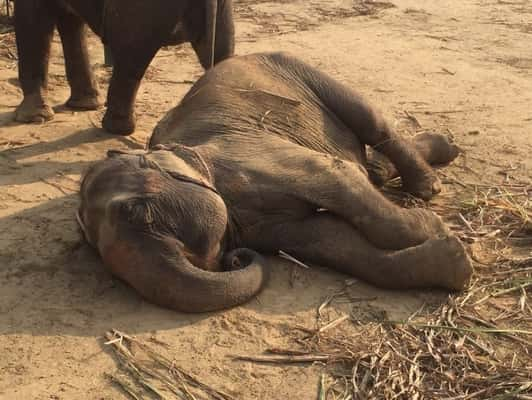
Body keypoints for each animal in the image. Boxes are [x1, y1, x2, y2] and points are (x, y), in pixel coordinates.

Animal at [11, 0, 233, 134]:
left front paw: (33, 119)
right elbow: (70, 19)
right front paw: (84, 105)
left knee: (131, 52)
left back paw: (115, 129)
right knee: (221, 50)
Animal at [77, 51, 472, 312]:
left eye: (137, 213)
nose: (234, 259)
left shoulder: (255, 158)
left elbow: (336, 178)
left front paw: (436, 229)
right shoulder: (267, 225)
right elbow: (334, 242)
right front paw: (454, 265)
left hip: (303, 71)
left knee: (372, 123)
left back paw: (428, 186)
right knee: (368, 165)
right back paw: (442, 153)